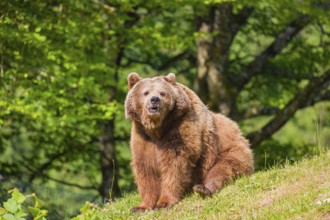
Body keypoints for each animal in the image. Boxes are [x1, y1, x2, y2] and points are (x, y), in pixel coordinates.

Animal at [125, 73, 254, 212]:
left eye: (162, 93)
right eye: (146, 92)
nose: (154, 99)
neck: (158, 129)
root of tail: (240, 132)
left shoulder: (181, 127)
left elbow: (175, 163)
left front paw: (164, 202)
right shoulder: (142, 136)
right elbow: (146, 168)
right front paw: (142, 206)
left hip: (230, 150)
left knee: (223, 169)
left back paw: (203, 189)